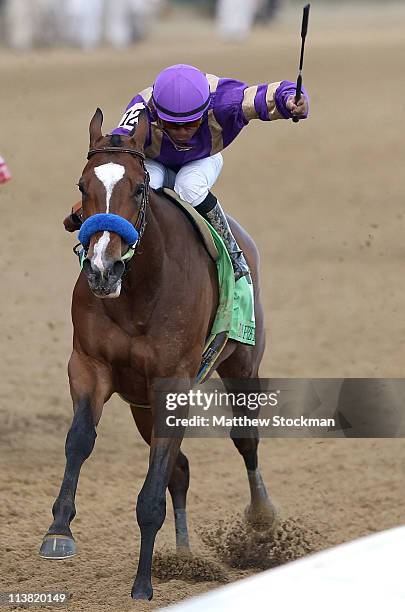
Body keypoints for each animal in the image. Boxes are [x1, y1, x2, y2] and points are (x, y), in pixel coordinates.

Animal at [39, 107, 276, 600]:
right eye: (82, 186)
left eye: (138, 187)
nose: (102, 269)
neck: (137, 294)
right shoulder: (89, 366)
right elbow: (79, 440)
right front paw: (58, 530)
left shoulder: (172, 384)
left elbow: (152, 492)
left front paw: (143, 584)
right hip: (141, 406)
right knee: (180, 470)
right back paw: (183, 555)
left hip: (243, 363)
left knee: (245, 441)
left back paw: (261, 517)